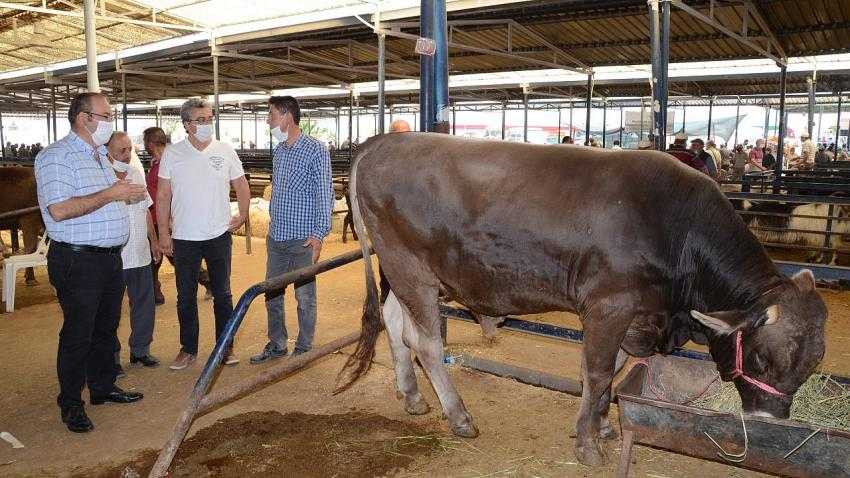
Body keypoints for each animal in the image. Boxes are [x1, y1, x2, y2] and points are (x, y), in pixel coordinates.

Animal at [334, 134, 824, 466]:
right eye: (761, 359)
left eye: (811, 364)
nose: (769, 423)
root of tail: (385, 140)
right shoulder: (611, 304)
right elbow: (599, 369)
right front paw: (589, 443)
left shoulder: (633, 314)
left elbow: (612, 371)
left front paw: (601, 424)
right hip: (410, 267)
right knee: (427, 343)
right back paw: (458, 416)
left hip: (401, 272)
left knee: (395, 324)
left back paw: (412, 396)